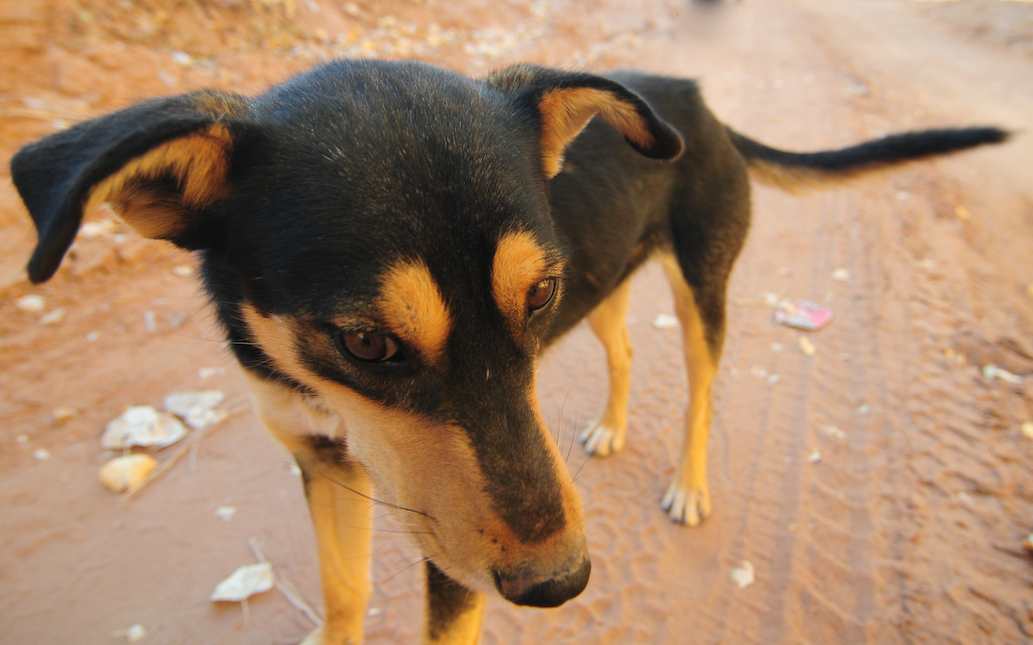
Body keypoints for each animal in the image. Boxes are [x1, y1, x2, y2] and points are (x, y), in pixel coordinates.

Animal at [10, 59, 1008, 640]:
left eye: (534, 296)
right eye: (365, 341)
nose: (560, 582)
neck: (318, 388)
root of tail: (695, 100)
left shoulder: (449, 558)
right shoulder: (320, 457)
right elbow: (341, 591)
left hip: (699, 286)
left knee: (699, 387)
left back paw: (689, 483)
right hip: (607, 279)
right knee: (623, 352)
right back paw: (609, 426)